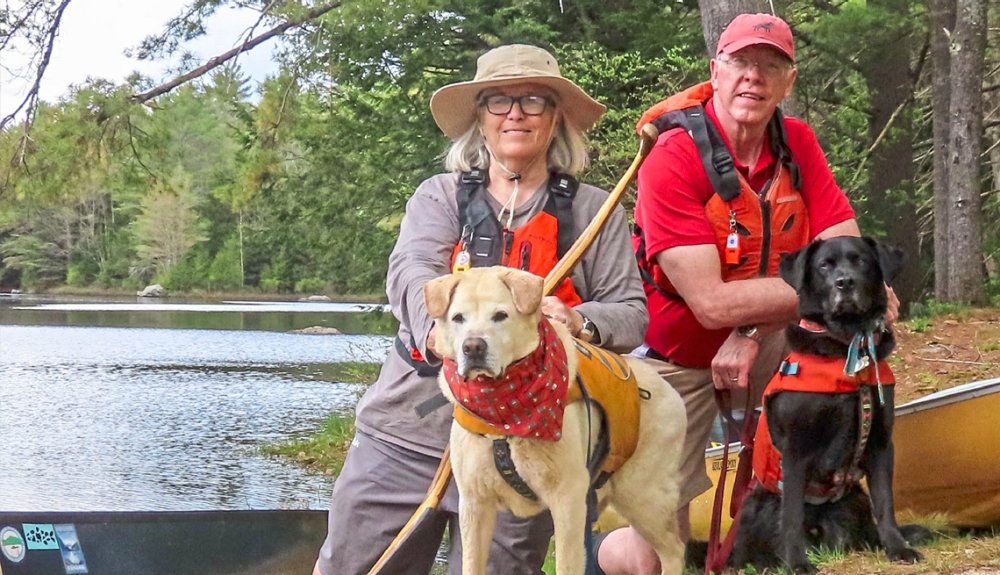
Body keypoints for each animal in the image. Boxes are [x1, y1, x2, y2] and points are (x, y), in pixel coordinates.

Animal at [728, 236, 928, 572]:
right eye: (824, 265)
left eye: (861, 261)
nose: (844, 282)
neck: (848, 346)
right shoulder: (796, 451)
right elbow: (791, 516)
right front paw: (798, 563)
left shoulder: (880, 443)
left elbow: (885, 503)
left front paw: (898, 547)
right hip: (759, 505)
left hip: (855, 498)